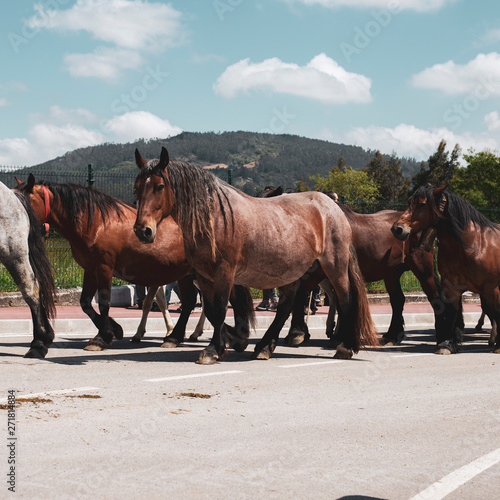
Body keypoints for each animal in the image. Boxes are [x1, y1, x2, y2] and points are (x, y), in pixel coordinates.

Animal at [16, 175, 256, 352]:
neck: (96, 222)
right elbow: (85, 303)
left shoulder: (104, 268)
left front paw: (103, 336)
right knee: (191, 302)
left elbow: (104, 302)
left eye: (23, 200)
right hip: (189, 274)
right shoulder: (90, 270)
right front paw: (114, 329)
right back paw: (177, 337)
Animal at [133, 147, 378, 364]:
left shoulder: (224, 273)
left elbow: (219, 310)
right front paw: (231, 340)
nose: (142, 230)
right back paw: (265, 346)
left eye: (160, 186)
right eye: (137, 188)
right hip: (295, 271)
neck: (215, 218)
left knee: (345, 300)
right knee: (288, 305)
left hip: (334, 267)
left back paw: (345, 346)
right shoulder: (203, 276)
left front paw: (213, 349)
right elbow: (211, 311)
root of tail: (334, 207)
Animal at [392, 185, 500, 356]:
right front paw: (446, 345)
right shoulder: (451, 287)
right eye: (409, 202)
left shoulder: (492, 288)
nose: (397, 229)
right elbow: (450, 313)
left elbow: (496, 312)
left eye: (422, 204)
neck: (474, 246)